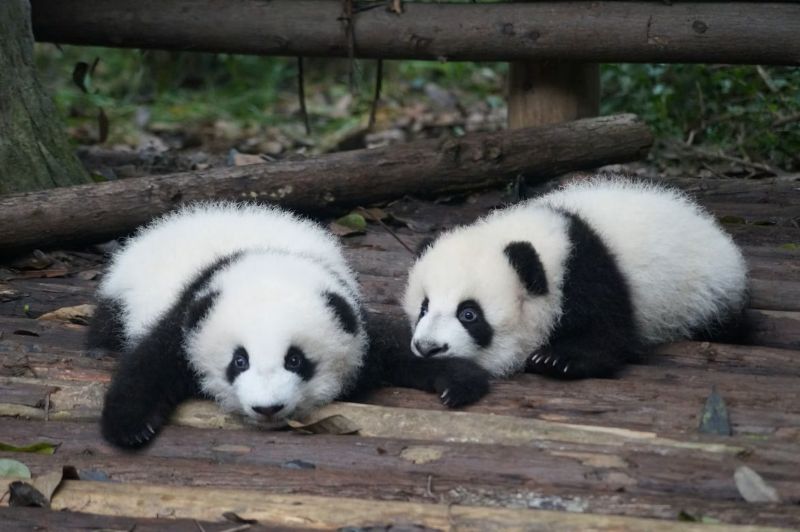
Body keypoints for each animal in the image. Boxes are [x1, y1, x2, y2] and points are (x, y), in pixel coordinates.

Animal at [89, 202, 369, 449]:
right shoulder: (190, 315)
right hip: (121, 295)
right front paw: (130, 427)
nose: (267, 408)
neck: (266, 259)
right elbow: (151, 364)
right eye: (239, 361)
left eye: (295, 360)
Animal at [402, 177, 748, 404]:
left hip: (707, 294)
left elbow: (609, 334)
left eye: (469, 314)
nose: (428, 348)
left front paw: (557, 360)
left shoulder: (588, 273)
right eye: (424, 307)